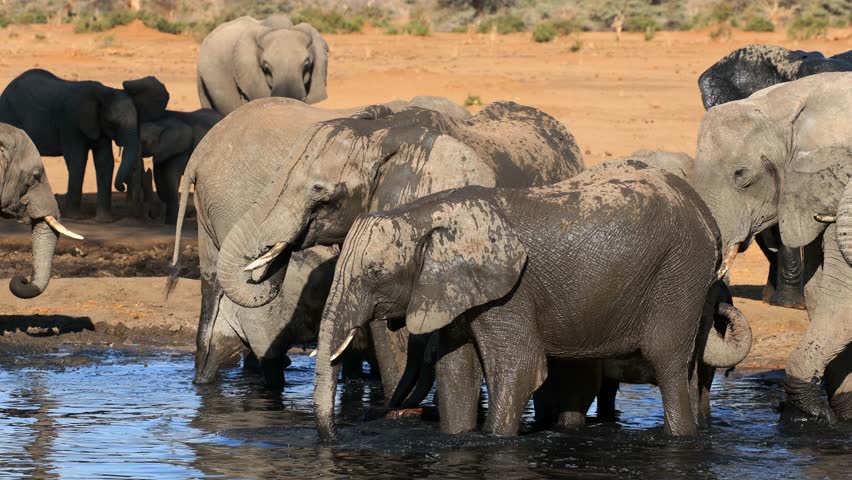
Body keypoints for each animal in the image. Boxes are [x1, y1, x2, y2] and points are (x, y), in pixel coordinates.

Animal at [0, 69, 169, 222]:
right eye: (112, 123)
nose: (122, 187)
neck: (104, 93)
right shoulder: (71, 122)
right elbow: (78, 159)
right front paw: (75, 217)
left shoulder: (98, 126)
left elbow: (105, 161)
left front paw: (104, 220)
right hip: (9, 115)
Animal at [314, 162, 725, 440]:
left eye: (374, 273)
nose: (337, 436)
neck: (424, 213)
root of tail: (705, 211)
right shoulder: (456, 288)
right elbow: (456, 373)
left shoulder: (509, 290)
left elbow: (519, 366)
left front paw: (495, 440)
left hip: (679, 270)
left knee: (667, 360)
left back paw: (680, 438)